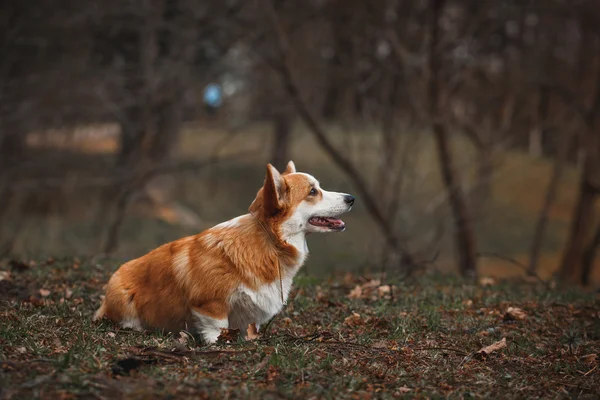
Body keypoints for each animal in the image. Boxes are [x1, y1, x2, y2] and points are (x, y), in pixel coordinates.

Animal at [94, 162, 354, 344]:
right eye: (313, 191)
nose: (351, 198)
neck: (270, 243)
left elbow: (249, 326)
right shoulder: (210, 304)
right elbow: (216, 325)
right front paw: (219, 343)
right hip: (123, 297)